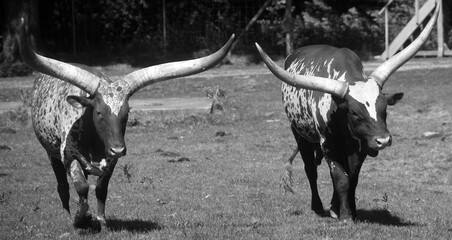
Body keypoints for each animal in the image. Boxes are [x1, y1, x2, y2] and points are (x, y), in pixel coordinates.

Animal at [17, 17, 235, 230]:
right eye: (98, 112)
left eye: (127, 112)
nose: (118, 149)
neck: (94, 141)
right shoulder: (68, 155)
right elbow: (81, 186)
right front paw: (81, 219)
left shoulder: (111, 162)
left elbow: (101, 189)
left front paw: (101, 221)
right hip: (51, 153)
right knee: (62, 186)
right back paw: (68, 216)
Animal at [256, 6, 440, 223]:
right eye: (354, 112)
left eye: (384, 108)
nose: (383, 140)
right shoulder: (328, 144)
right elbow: (340, 178)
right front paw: (344, 216)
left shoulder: (360, 146)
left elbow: (352, 178)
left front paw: (349, 210)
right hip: (299, 134)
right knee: (310, 170)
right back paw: (318, 207)